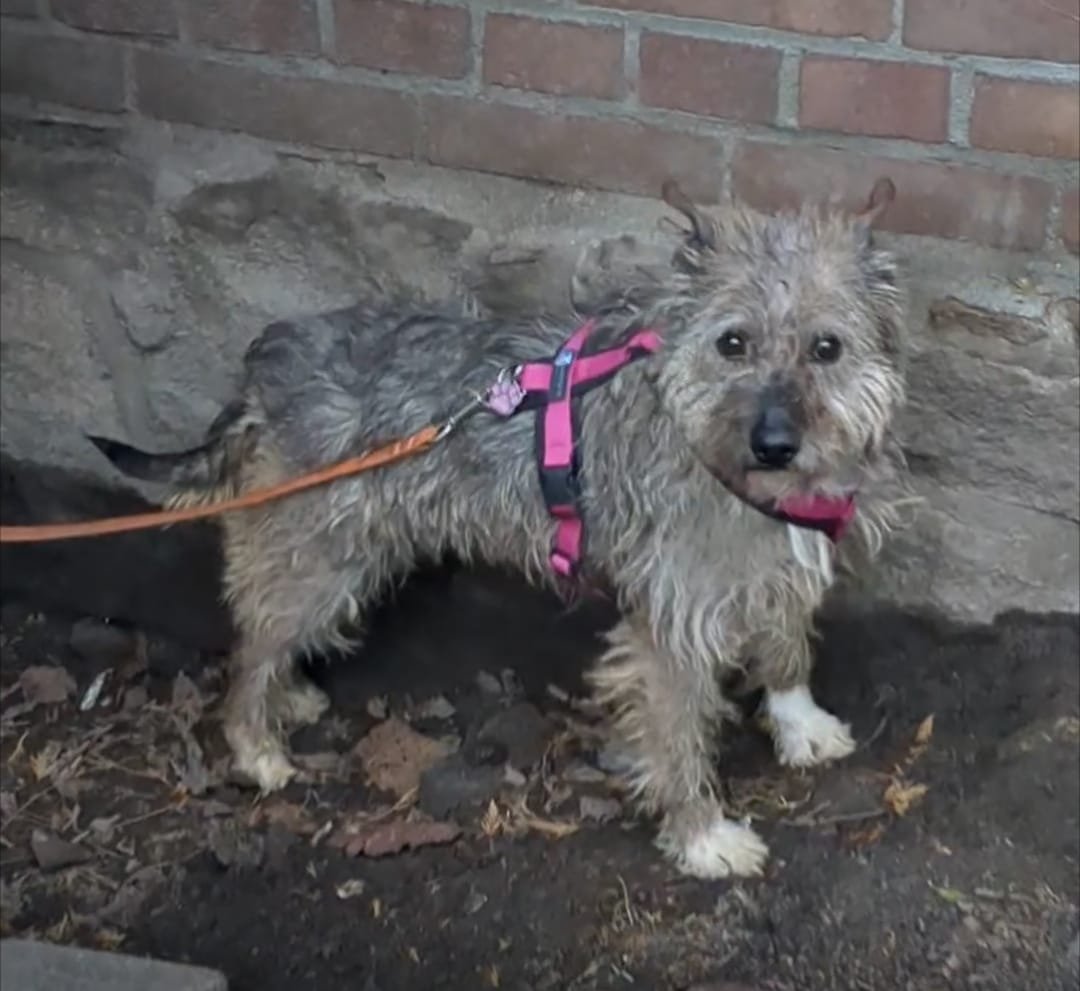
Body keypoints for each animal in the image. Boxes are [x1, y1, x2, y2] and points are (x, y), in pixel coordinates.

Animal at [91, 177, 909, 879]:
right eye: (732, 342)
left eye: (828, 347)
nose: (774, 443)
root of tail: (268, 361)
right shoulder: (671, 626)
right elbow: (679, 738)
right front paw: (702, 835)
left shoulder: (781, 563)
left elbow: (787, 643)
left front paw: (799, 721)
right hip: (320, 559)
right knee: (253, 647)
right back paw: (257, 745)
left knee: (268, 636)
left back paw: (288, 698)